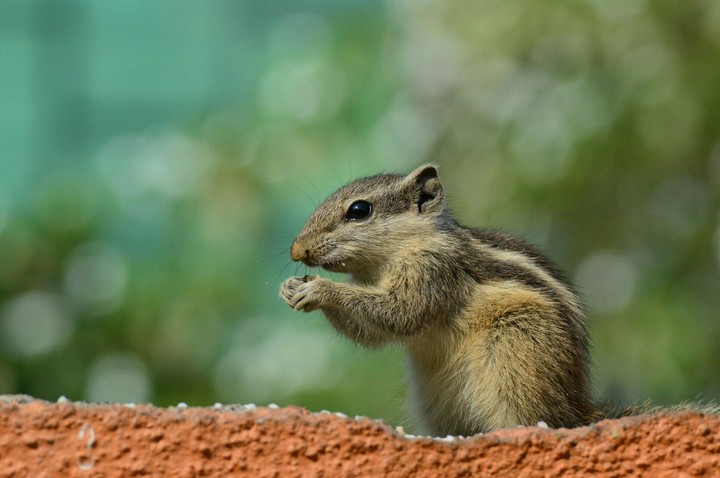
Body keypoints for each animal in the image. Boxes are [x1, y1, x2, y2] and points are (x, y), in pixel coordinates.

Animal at [280, 164, 717, 436]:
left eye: (358, 210)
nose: (297, 250)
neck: (389, 256)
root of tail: (578, 408)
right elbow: (370, 332)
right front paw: (289, 287)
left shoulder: (434, 269)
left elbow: (400, 313)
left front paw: (319, 290)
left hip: (515, 347)